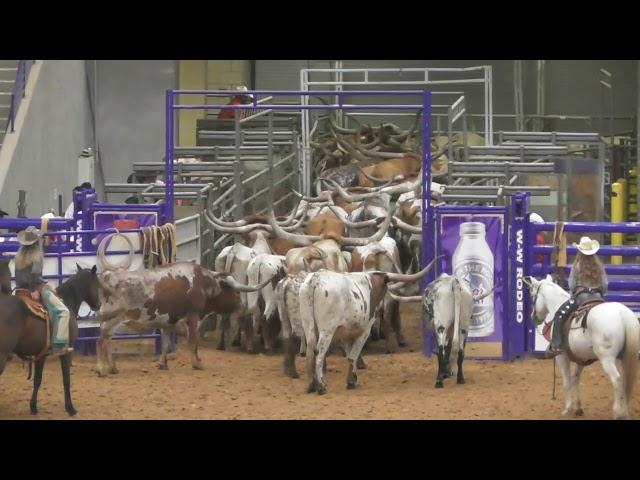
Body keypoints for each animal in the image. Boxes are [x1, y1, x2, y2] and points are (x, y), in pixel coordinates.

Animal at [0, 262, 100, 416]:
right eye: (98, 283)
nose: (99, 305)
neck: (67, 301)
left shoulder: (41, 354)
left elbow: (37, 379)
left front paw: (33, 407)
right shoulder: (66, 351)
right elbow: (66, 379)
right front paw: (70, 408)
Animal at [524, 274, 640, 420]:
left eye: (533, 295)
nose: (534, 317)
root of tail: (623, 314)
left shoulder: (561, 357)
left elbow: (567, 382)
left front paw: (568, 409)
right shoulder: (581, 358)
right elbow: (575, 379)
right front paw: (578, 408)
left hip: (607, 358)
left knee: (617, 380)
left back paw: (618, 413)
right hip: (625, 357)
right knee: (625, 381)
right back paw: (625, 411)